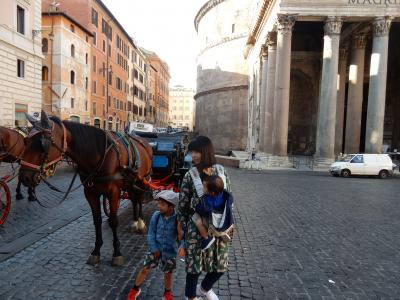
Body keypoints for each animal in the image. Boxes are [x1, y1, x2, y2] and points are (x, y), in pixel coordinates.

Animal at [18, 111, 153, 266]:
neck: (98, 155)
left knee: (139, 198)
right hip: (130, 183)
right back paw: (135, 220)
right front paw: (96, 251)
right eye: (26, 141)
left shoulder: (113, 192)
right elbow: (97, 221)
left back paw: (140, 222)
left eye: (42, 144)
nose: (24, 177)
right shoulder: (90, 193)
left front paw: (117, 253)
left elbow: (113, 221)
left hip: (142, 179)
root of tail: (144, 142)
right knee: (133, 199)